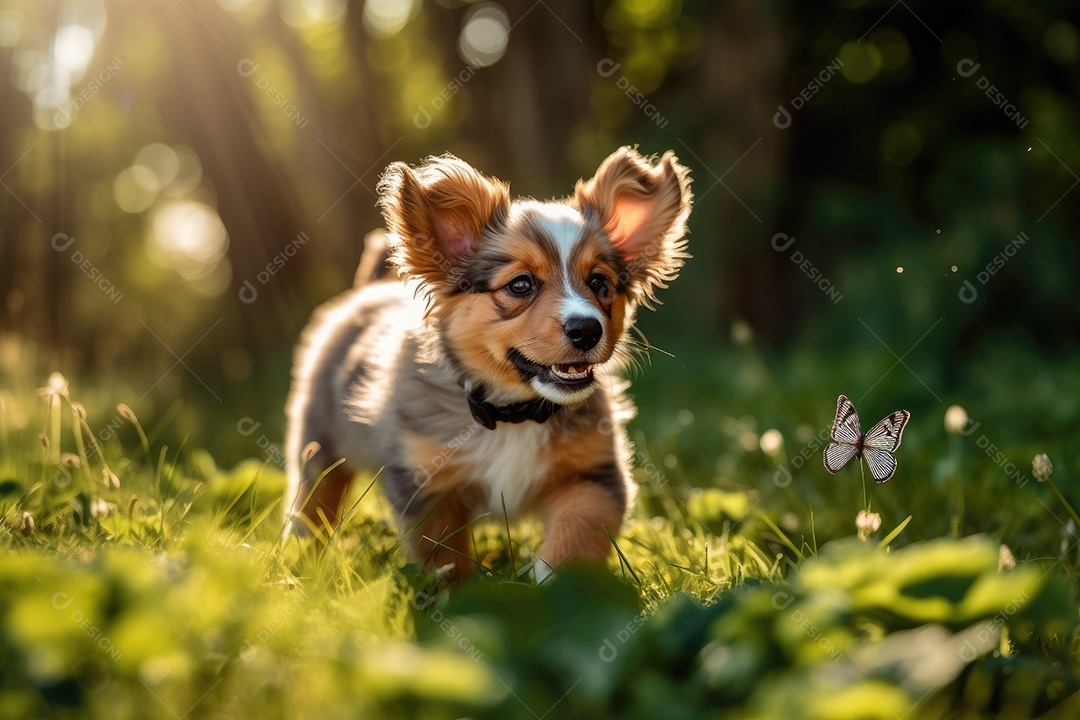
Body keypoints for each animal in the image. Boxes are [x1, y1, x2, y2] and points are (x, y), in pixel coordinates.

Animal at [282, 147, 691, 587]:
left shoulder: (593, 477)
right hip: (319, 445)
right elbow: (446, 562)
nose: (586, 329)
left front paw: (555, 586)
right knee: (314, 502)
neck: (514, 415)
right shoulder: (427, 484)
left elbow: (577, 533)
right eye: (521, 285)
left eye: (600, 283)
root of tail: (370, 290)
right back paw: (306, 562)